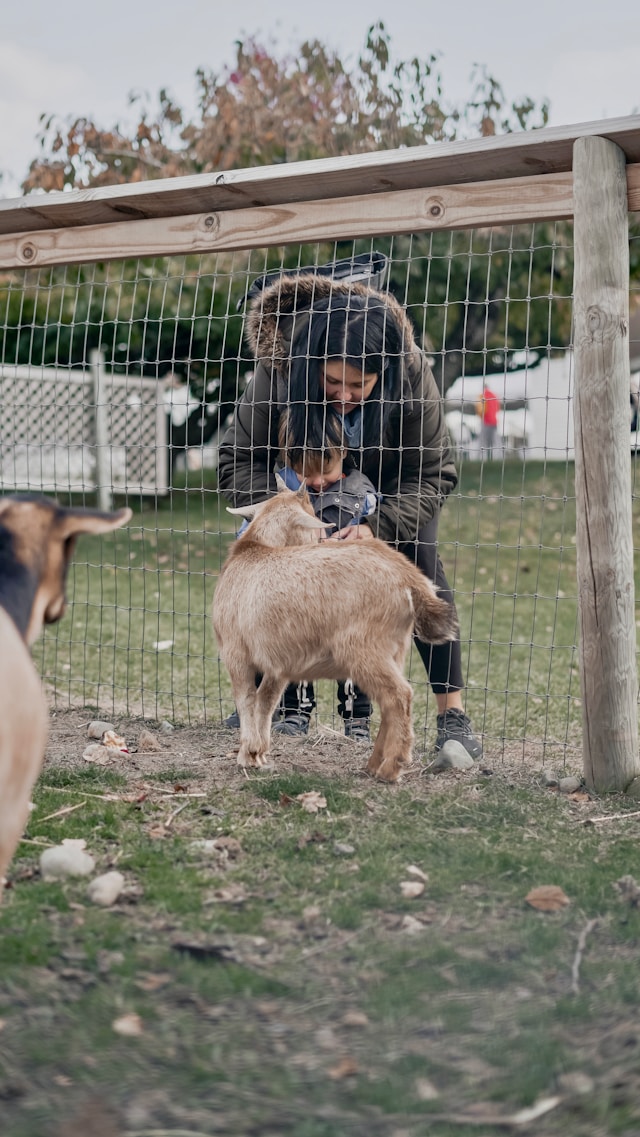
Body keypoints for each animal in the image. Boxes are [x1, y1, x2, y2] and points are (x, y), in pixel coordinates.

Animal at [212, 479, 459, 782]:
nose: (320, 539)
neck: (255, 551)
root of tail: (408, 578)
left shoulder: (236, 653)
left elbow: (246, 699)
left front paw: (246, 755)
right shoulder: (277, 664)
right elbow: (265, 702)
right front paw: (258, 753)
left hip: (363, 647)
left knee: (399, 696)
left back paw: (391, 768)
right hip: (395, 648)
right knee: (390, 702)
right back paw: (373, 764)